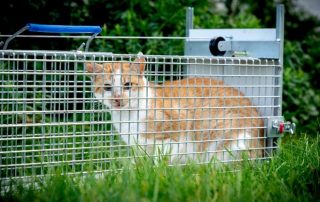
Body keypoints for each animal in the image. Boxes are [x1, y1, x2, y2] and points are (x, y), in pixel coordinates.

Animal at [86, 52, 264, 163]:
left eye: (128, 85)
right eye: (107, 87)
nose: (117, 98)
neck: (127, 116)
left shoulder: (172, 136)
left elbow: (160, 161)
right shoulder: (139, 147)